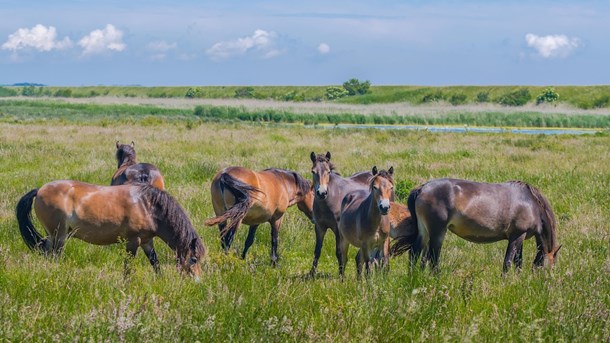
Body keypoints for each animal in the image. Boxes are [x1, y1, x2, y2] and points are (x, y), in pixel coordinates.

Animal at [15, 180, 205, 280]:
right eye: (194, 259)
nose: (198, 280)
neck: (147, 205)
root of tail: (40, 190)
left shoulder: (146, 241)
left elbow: (155, 262)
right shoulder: (133, 241)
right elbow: (128, 266)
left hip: (53, 236)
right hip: (59, 235)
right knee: (54, 255)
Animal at [390, 180, 560, 274]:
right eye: (551, 268)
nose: (544, 284)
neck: (531, 203)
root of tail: (422, 188)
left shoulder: (520, 237)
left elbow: (518, 262)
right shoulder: (517, 236)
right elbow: (508, 263)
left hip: (424, 232)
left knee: (414, 253)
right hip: (437, 232)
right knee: (433, 259)